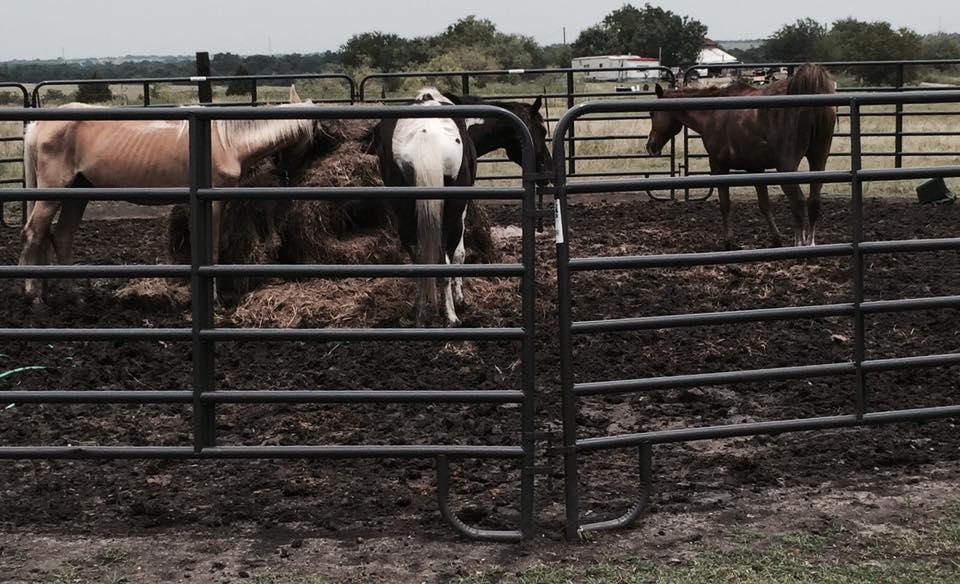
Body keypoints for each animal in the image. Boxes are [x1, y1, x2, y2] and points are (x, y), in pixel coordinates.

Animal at [18, 86, 318, 302]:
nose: (292, 171)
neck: (226, 142)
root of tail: (36, 126)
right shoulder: (213, 202)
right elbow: (212, 249)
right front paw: (214, 299)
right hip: (55, 191)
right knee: (34, 233)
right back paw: (34, 295)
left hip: (77, 194)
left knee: (60, 236)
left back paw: (73, 295)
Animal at [376, 90, 480, 328]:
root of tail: (425, 136)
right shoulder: (461, 212)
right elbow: (459, 254)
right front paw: (459, 300)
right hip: (451, 215)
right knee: (444, 258)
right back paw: (451, 316)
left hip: (404, 215)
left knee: (419, 261)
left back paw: (421, 315)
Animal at [644, 64, 840, 249]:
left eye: (652, 113)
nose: (650, 146)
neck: (713, 114)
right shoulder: (756, 168)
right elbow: (764, 205)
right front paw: (776, 239)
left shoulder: (719, 166)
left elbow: (725, 204)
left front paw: (728, 242)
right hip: (818, 159)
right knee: (813, 201)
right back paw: (810, 244)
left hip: (787, 168)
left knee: (798, 202)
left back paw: (800, 245)